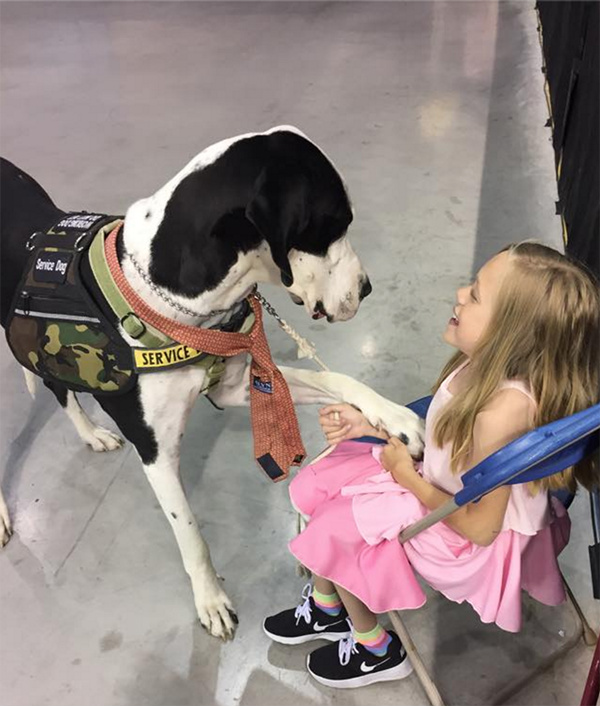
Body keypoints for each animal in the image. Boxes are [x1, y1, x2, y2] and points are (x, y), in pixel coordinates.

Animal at [1, 126, 423, 639]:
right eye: (334, 223)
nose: (366, 288)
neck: (173, 297)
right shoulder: (156, 451)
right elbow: (190, 533)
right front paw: (211, 601)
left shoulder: (236, 386)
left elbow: (337, 377)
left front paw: (394, 418)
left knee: (58, 386)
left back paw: (91, 434)